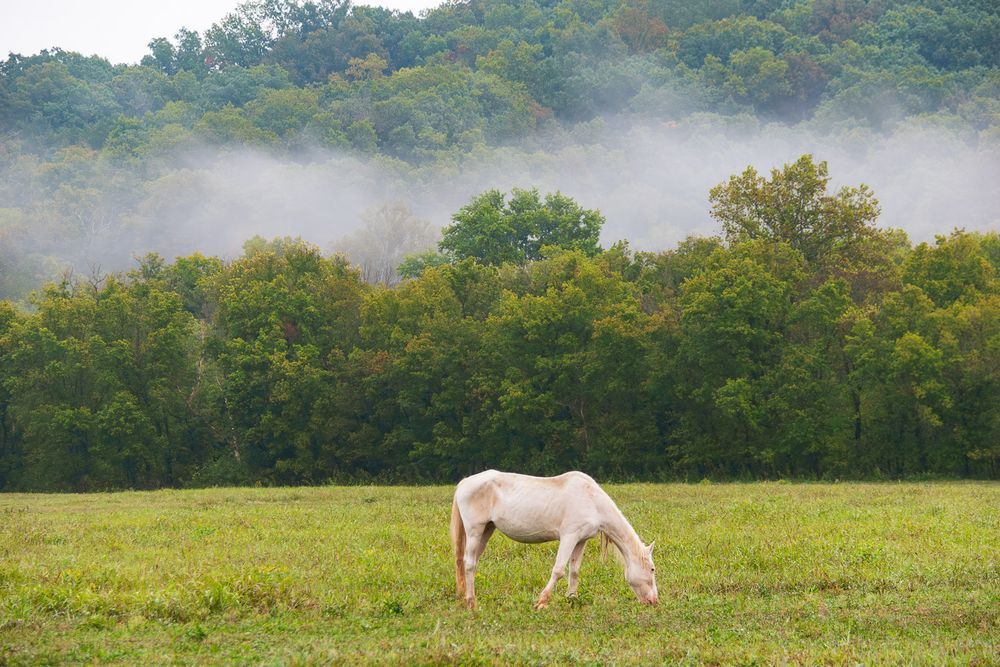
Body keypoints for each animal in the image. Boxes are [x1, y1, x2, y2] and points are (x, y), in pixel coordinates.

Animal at [450, 469, 658, 609]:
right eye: (652, 569)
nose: (655, 601)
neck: (592, 501)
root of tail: (464, 483)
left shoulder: (580, 540)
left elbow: (574, 571)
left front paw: (572, 598)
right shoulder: (569, 536)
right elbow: (558, 570)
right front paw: (542, 602)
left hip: (487, 530)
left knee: (471, 562)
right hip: (475, 530)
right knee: (469, 563)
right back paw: (471, 602)